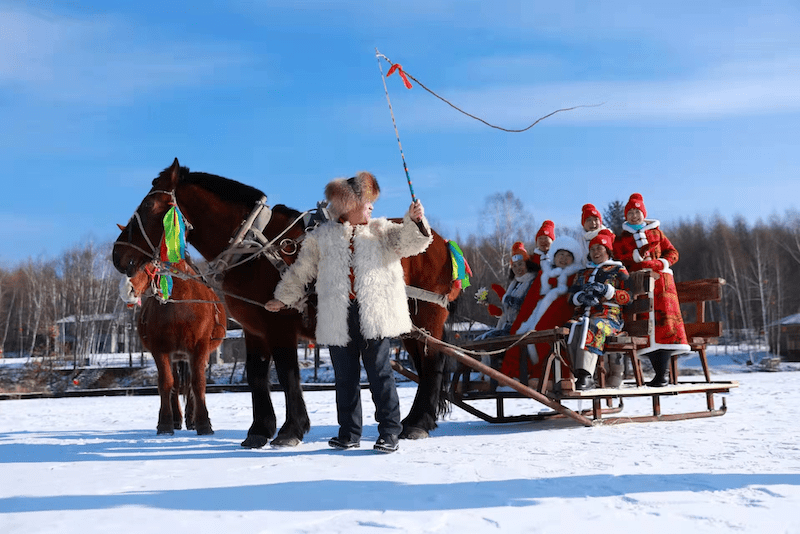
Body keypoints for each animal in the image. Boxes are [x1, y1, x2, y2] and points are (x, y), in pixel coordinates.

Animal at [119, 262, 225, 438]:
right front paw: (165, 423)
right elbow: (167, 383)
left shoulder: (199, 349)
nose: (126, 288)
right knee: (175, 381)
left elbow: (197, 383)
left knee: (189, 383)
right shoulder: (162, 350)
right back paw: (177, 419)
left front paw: (202, 423)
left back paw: (191, 419)